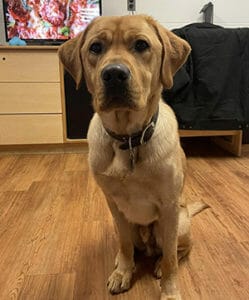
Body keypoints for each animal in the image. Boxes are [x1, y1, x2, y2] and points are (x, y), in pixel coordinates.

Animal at [58, 14, 206, 300]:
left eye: (141, 45)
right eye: (95, 48)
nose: (114, 74)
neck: (128, 139)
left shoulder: (169, 208)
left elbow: (171, 260)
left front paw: (170, 291)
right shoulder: (115, 206)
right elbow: (126, 245)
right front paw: (123, 272)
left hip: (179, 223)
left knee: (178, 251)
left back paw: (158, 263)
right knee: (132, 246)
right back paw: (121, 260)